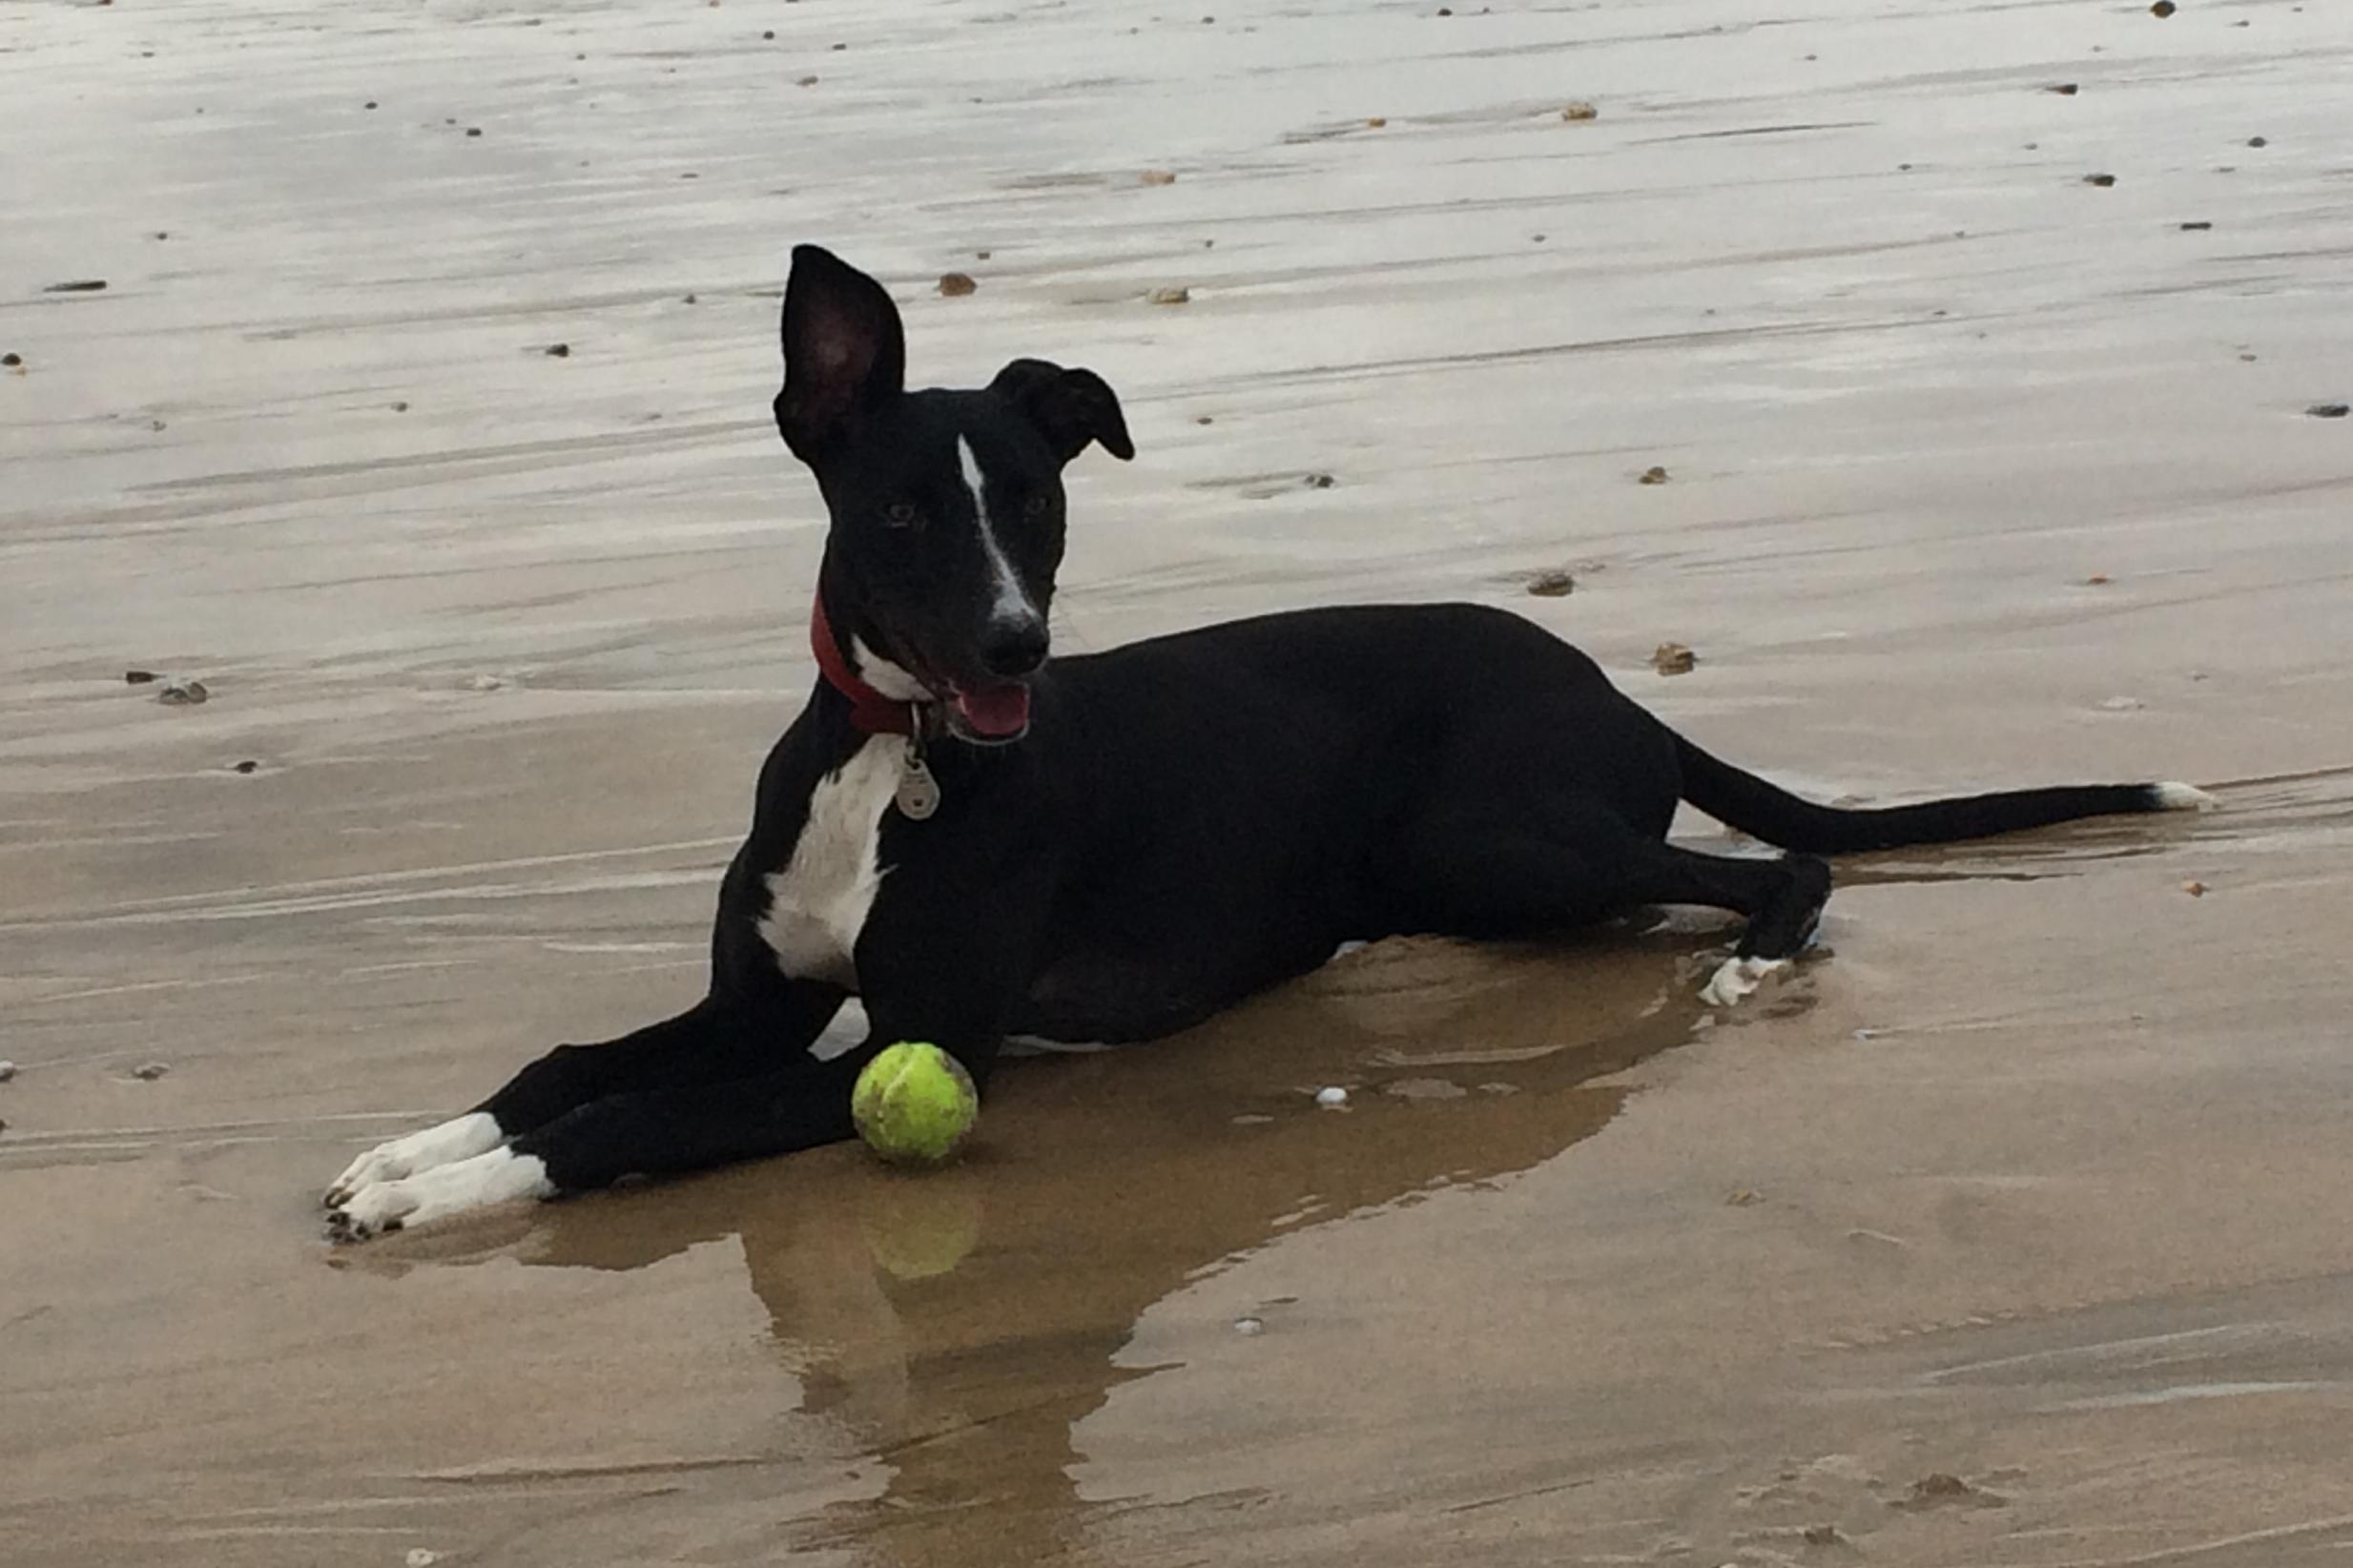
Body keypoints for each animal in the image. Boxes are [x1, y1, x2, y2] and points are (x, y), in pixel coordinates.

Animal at [326, 244, 2202, 1233]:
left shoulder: (898, 1040)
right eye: (901, 516)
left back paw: (1749, 959)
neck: (893, 769)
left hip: (1485, 835)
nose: (1014, 648)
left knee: (1779, 859)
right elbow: (575, 1060)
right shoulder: (757, 1000)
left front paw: (453, 1192)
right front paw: (420, 1143)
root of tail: (1617, 689)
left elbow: (634, 1115)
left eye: (1034, 501)